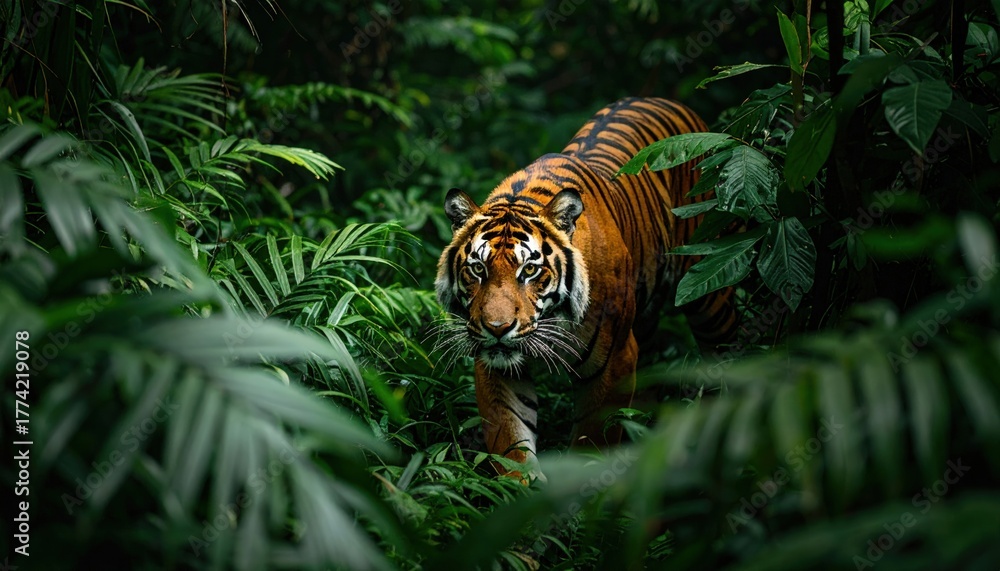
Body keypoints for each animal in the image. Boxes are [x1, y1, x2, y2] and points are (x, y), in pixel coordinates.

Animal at [434, 97, 737, 478]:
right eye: (477, 269)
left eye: (529, 270)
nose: (497, 328)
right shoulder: (496, 366)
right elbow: (511, 438)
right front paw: (521, 485)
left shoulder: (614, 360)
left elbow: (594, 438)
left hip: (710, 294)